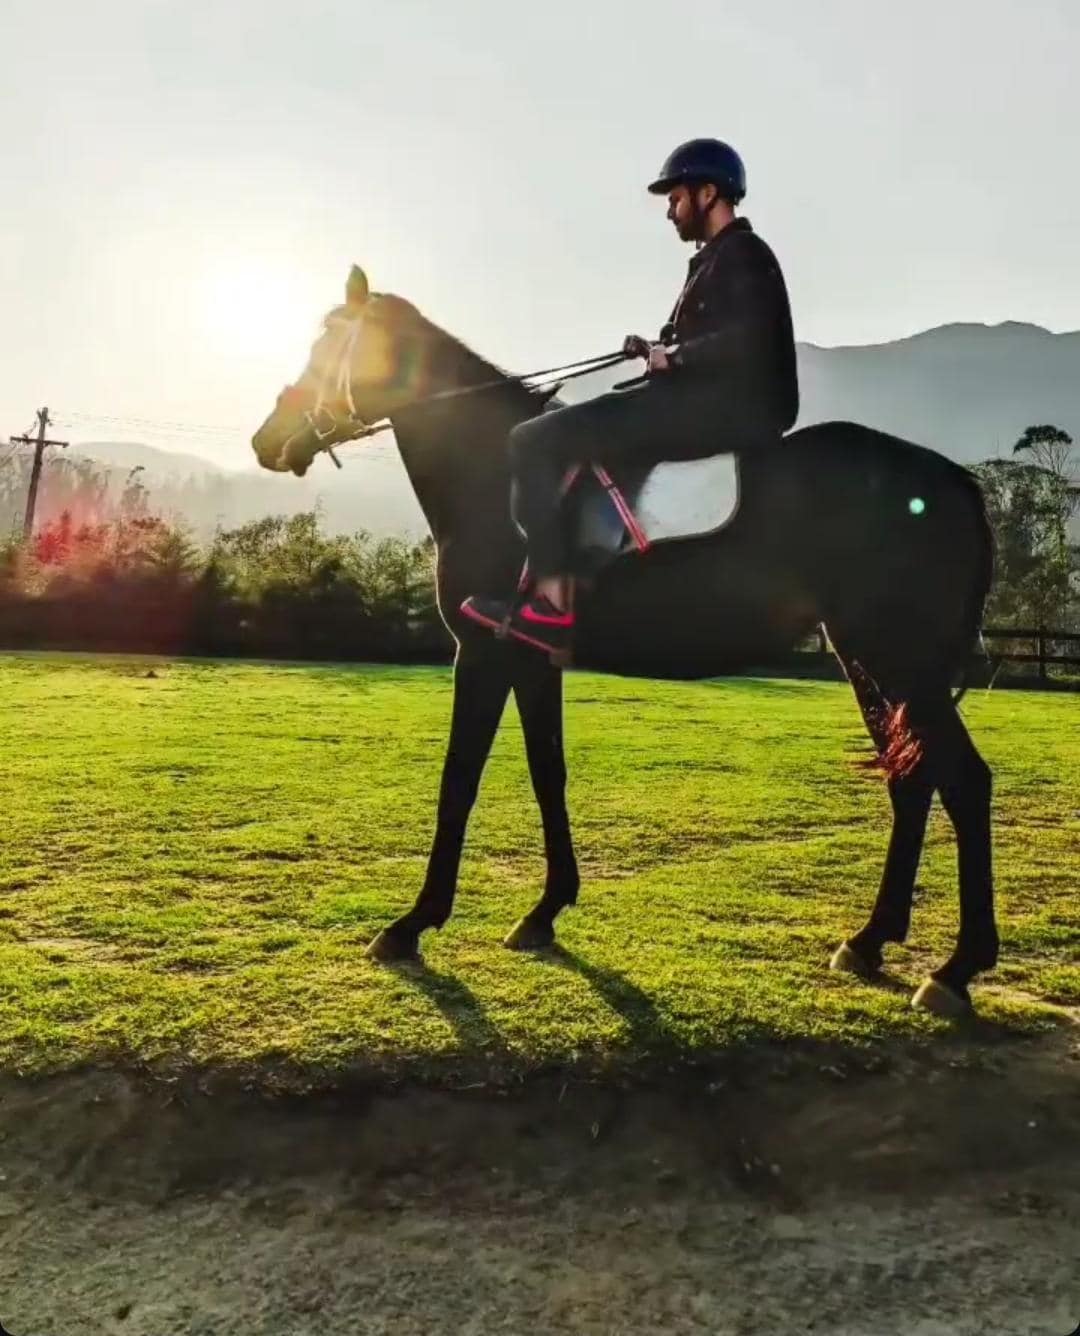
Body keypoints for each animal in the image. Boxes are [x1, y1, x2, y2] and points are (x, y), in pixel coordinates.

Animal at [251, 265, 997, 1017]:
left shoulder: (484, 654)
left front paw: (411, 925)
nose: (265, 440)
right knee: (914, 781)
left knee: (965, 781)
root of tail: (954, 481)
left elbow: (458, 781)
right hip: (867, 658)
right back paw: (870, 941)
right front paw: (544, 912)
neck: (487, 468)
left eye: (328, 345)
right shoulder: (531, 660)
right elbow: (547, 772)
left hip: (897, 657)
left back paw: (955, 970)